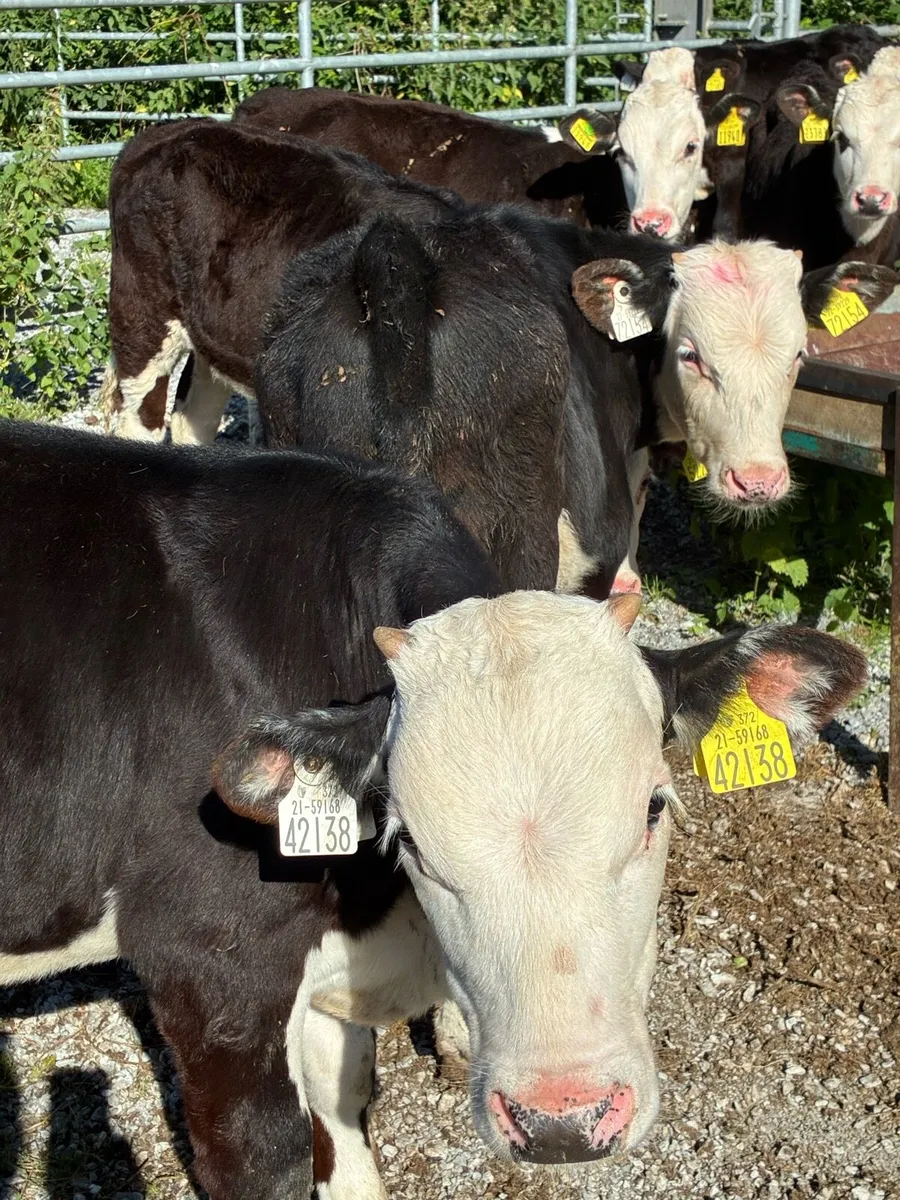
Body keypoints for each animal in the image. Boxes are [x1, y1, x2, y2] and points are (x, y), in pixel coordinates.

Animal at [0, 419, 867, 1198]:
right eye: (409, 838)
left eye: (652, 807)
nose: (562, 1122)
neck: (378, 921)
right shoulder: (205, 966)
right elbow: (261, 1157)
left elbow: (342, 1105)